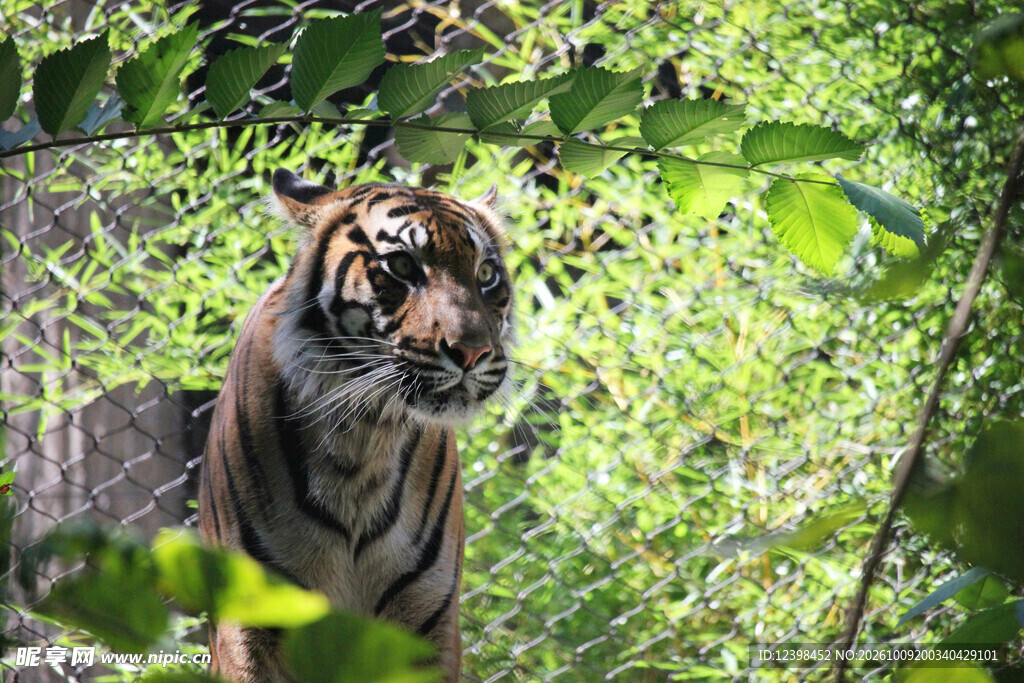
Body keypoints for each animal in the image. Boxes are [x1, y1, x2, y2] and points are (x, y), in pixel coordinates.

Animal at [197, 169, 514, 682]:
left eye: (486, 274)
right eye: (402, 266)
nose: (473, 352)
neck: (363, 436)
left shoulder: (426, 618)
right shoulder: (249, 619)